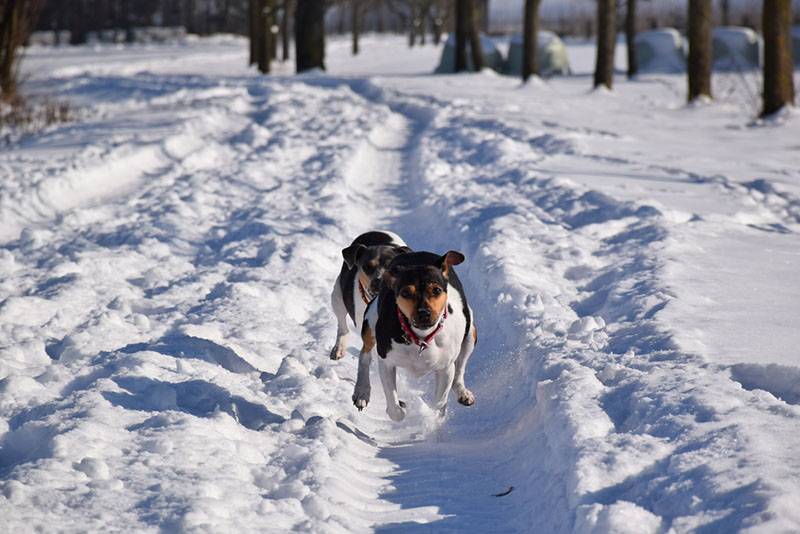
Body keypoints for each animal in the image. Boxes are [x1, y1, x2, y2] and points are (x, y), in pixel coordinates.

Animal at [328, 230, 410, 360]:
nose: (378, 282)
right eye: (367, 267)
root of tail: (373, 231)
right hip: (337, 296)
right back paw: (339, 348)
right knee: (342, 326)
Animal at [352, 251, 476, 422]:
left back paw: (463, 392)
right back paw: (362, 392)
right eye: (405, 292)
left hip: (470, 334)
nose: (424, 313)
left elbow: (440, 401)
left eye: (436, 290)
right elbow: (395, 409)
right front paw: (401, 408)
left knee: (459, 370)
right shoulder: (387, 362)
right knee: (365, 355)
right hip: (370, 322)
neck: (421, 338)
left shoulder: (445, 368)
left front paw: (434, 419)